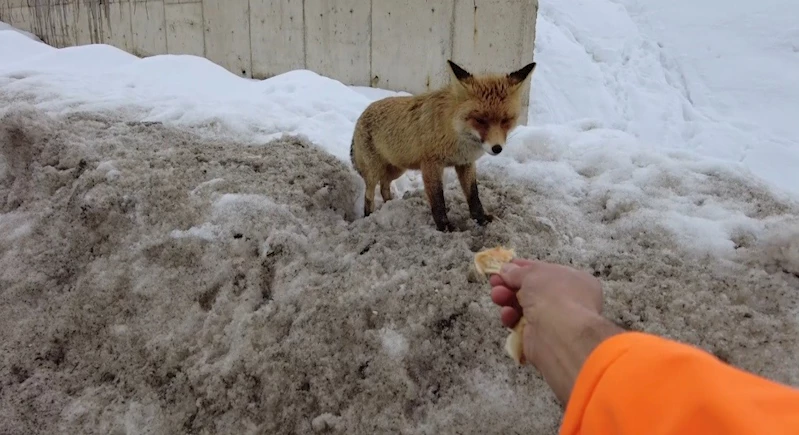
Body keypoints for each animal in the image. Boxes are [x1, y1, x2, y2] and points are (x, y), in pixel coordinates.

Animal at [350, 59, 536, 233]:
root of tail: (362, 115)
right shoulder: (431, 164)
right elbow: (438, 199)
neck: (455, 134)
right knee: (369, 195)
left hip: (397, 169)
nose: (497, 148)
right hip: (375, 172)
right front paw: (445, 227)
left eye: (506, 120)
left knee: (384, 187)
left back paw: (390, 205)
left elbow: (473, 195)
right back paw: (369, 216)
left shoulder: (465, 163)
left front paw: (480, 219)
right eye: (480, 120)